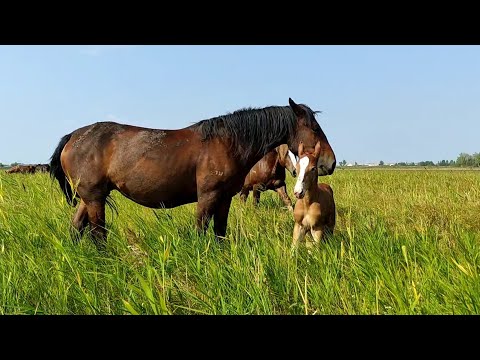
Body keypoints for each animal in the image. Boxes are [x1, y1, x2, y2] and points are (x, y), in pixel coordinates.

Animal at [48, 98, 334, 250]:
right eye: (314, 128)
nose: (329, 163)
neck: (227, 142)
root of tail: (72, 136)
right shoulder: (208, 196)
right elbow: (201, 229)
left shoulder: (225, 198)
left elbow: (219, 232)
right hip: (95, 198)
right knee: (97, 233)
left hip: (89, 198)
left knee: (77, 227)